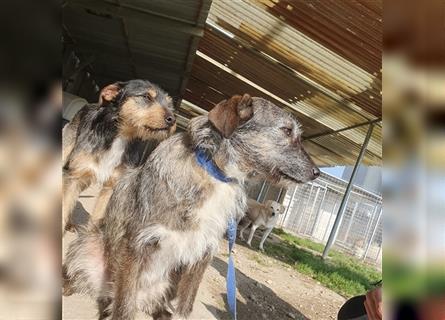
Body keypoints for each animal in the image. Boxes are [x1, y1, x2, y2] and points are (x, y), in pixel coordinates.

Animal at [63, 94, 320, 318]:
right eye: (286, 130)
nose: (317, 173)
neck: (215, 173)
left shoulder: (202, 253)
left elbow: (185, 307)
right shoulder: (137, 243)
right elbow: (124, 306)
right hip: (88, 244)